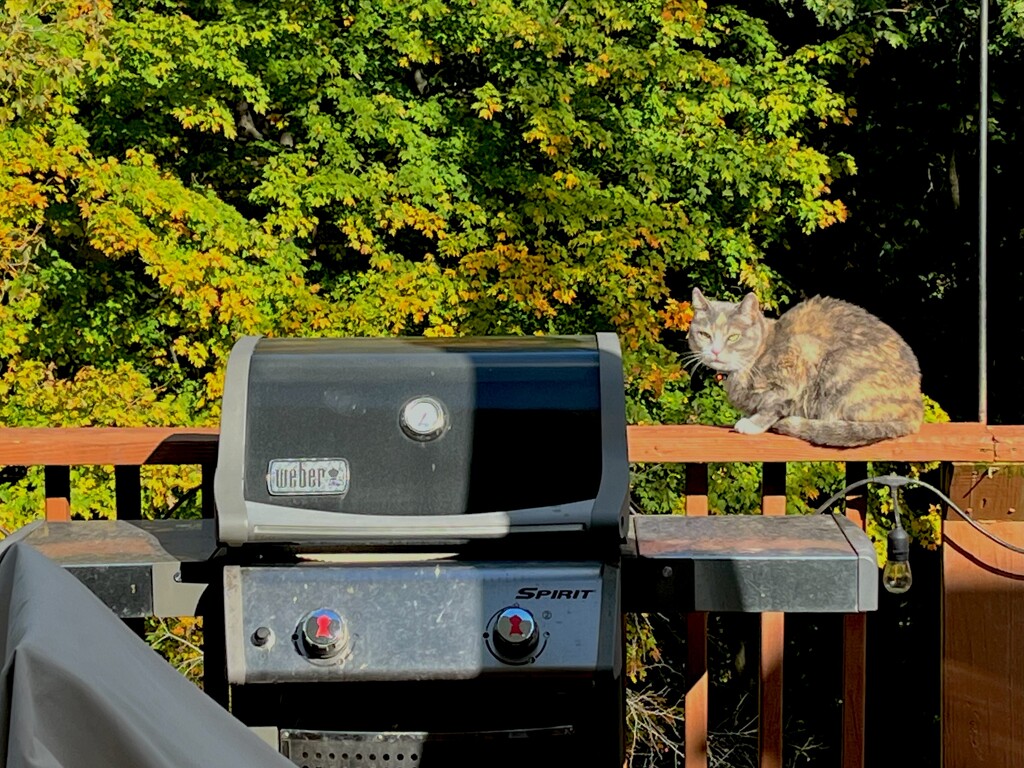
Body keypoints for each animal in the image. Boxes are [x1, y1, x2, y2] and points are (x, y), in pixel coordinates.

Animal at [684, 286, 925, 444]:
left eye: (733, 337)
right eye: (704, 334)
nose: (715, 351)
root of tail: (916, 405)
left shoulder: (798, 362)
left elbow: (774, 403)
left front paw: (752, 424)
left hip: (838, 368)